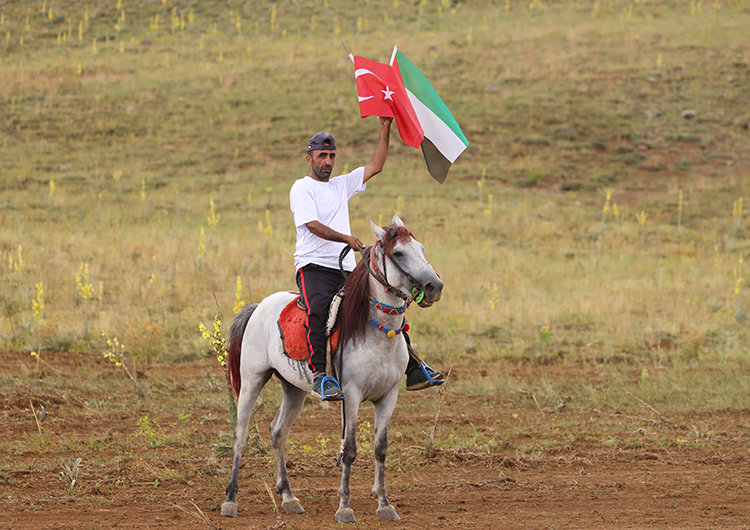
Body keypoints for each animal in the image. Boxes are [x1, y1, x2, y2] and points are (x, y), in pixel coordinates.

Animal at [222, 213, 446, 520]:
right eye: (399, 253)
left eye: (421, 248)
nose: (434, 286)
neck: (377, 332)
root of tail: (258, 306)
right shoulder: (351, 394)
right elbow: (349, 449)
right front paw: (345, 507)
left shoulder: (389, 396)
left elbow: (381, 448)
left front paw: (384, 504)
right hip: (252, 380)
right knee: (241, 435)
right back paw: (231, 499)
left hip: (294, 389)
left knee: (278, 432)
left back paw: (288, 496)